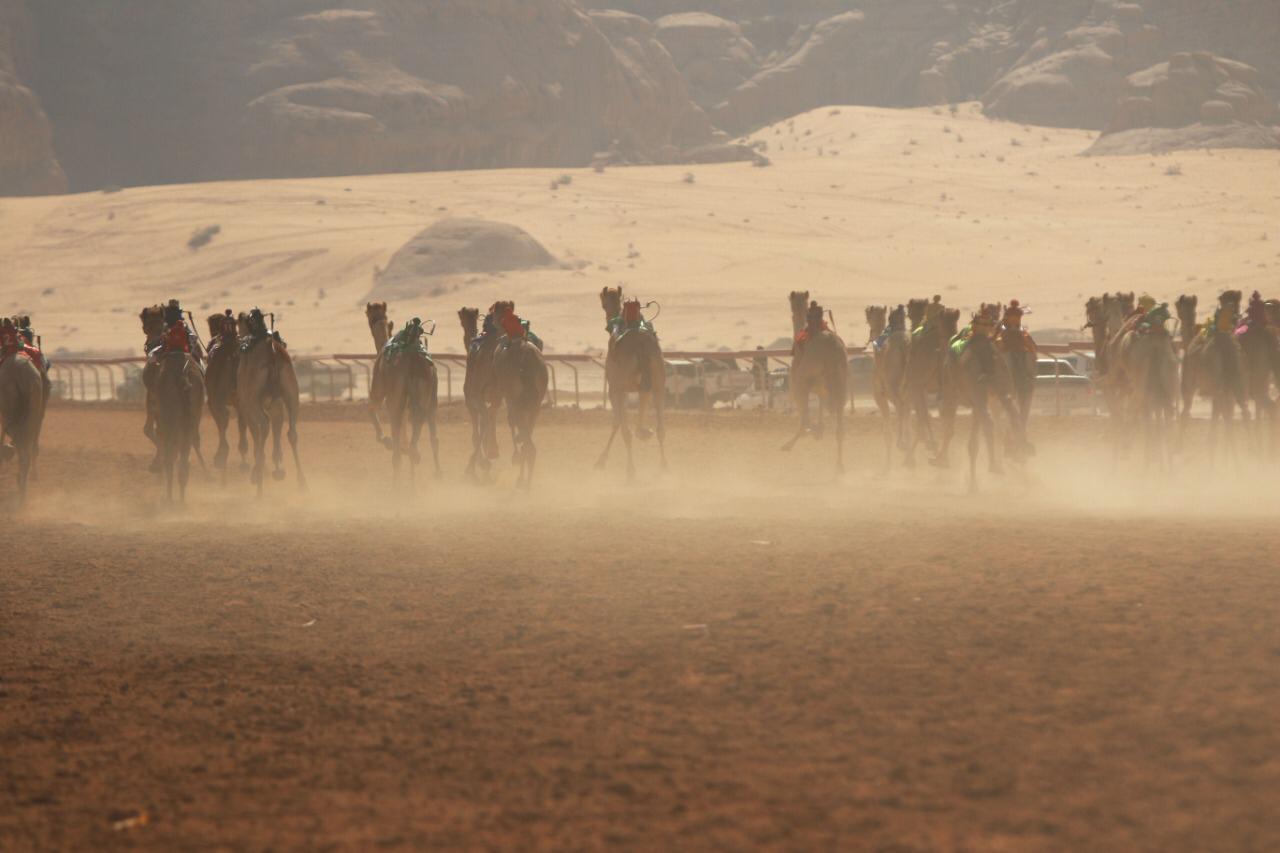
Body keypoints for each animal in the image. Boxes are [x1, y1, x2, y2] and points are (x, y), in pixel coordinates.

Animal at [155, 348, 207, 502]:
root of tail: (184, 376)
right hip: (192, 418)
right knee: (183, 455)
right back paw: (181, 499)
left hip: (169, 420)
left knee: (170, 455)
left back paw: (169, 499)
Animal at [591, 286, 665, 479]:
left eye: (603, 301)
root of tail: (642, 346)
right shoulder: (635, 388)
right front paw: (643, 432)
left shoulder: (615, 388)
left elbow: (617, 422)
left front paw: (601, 461)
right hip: (658, 382)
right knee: (661, 428)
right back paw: (664, 467)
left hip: (623, 384)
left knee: (627, 432)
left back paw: (631, 472)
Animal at [778, 289, 849, 468]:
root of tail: (833, 348)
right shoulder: (821, 387)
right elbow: (821, 404)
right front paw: (819, 430)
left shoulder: (798, 382)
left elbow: (804, 415)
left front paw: (811, 432)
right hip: (841, 382)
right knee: (840, 426)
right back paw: (839, 466)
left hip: (804, 379)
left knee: (806, 417)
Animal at [1177, 294, 1249, 466]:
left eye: (1179, 307)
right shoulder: (1226, 395)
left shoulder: (1191, 388)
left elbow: (1185, 416)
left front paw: (1178, 454)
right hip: (1238, 383)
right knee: (1244, 415)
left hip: (1217, 387)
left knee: (1221, 426)